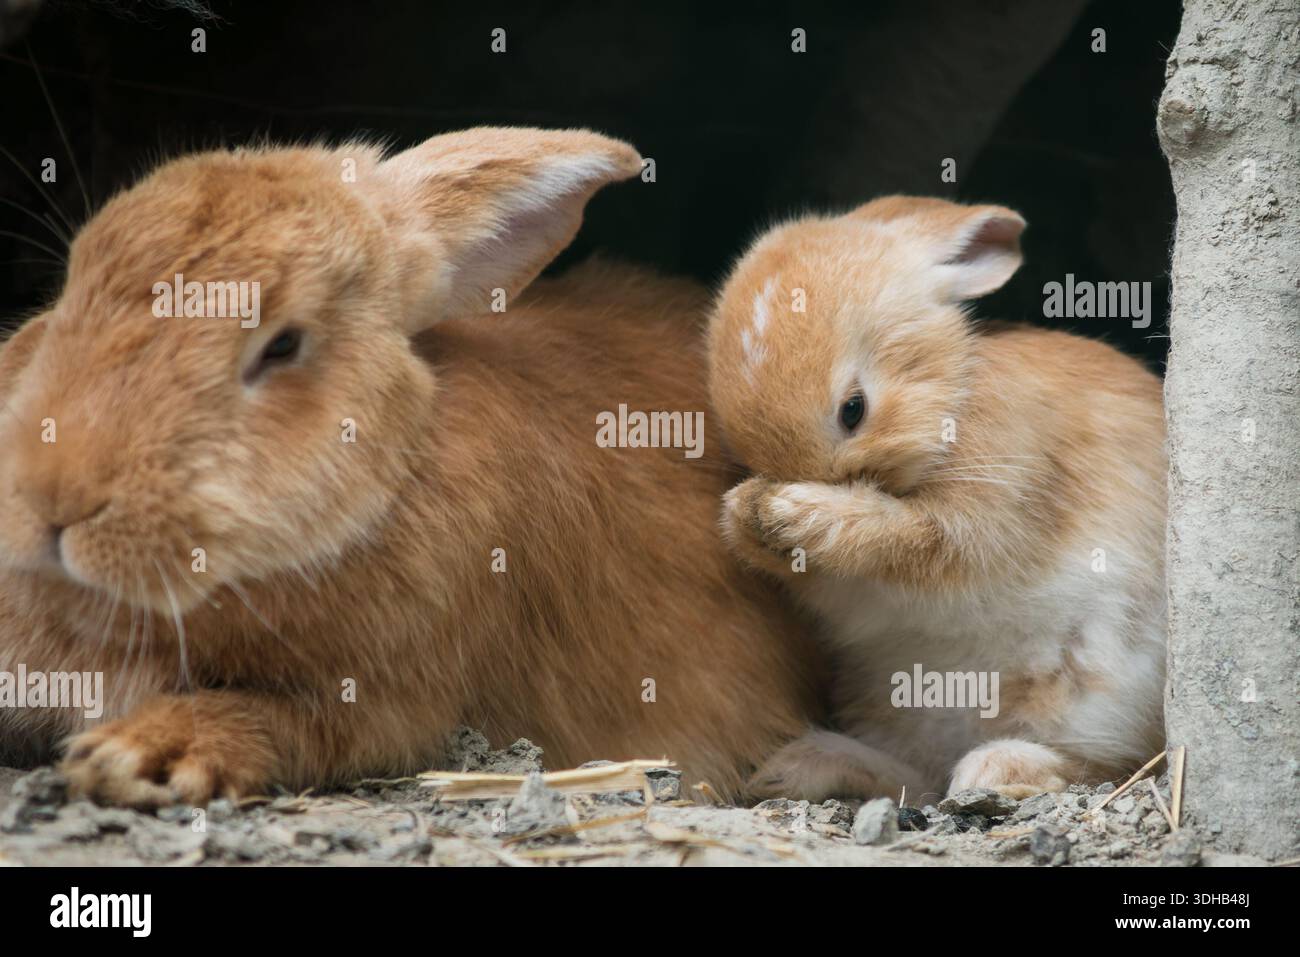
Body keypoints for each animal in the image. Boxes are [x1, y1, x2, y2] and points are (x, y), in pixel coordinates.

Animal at [0, 127, 824, 807]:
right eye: (66, 288)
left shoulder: (387, 703)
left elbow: (274, 717)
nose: (51, 497)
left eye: (283, 344)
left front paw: (136, 756)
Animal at [708, 196, 1167, 804]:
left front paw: (797, 512)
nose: (790, 484)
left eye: (853, 409)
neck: (956, 390)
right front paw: (744, 514)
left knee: (1110, 766)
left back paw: (999, 768)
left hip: (1108, 693)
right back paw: (795, 768)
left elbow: (911, 542)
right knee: (919, 779)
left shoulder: (996, 501)